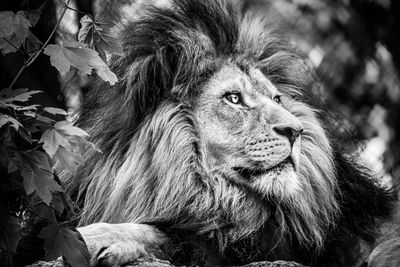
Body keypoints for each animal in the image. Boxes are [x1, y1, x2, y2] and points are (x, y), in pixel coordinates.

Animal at [63, 0, 396, 266]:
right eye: (234, 98)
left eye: (277, 99)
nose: (296, 130)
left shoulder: (263, 248)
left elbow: (164, 234)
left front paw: (97, 238)